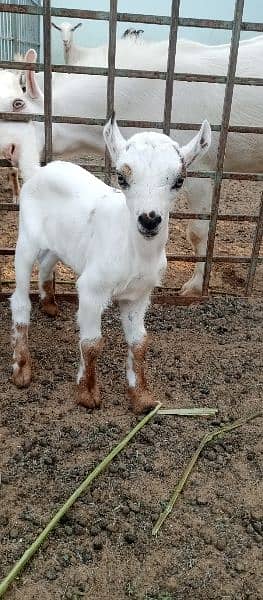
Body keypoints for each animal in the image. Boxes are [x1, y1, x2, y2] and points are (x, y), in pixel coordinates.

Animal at [2, 112, 212, 412]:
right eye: (121, 178)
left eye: (179, 180)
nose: (149, 220)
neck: (134, 251)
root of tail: (38, 171)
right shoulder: (91, 288)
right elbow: (91, 342)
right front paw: (87, 394)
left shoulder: (139, 295)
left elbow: (140, 342)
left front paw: (142, 398)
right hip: (26, 241)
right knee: (19, 300)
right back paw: (21, 369)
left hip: (60, 243)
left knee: (47, 264)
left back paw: (50, 304)